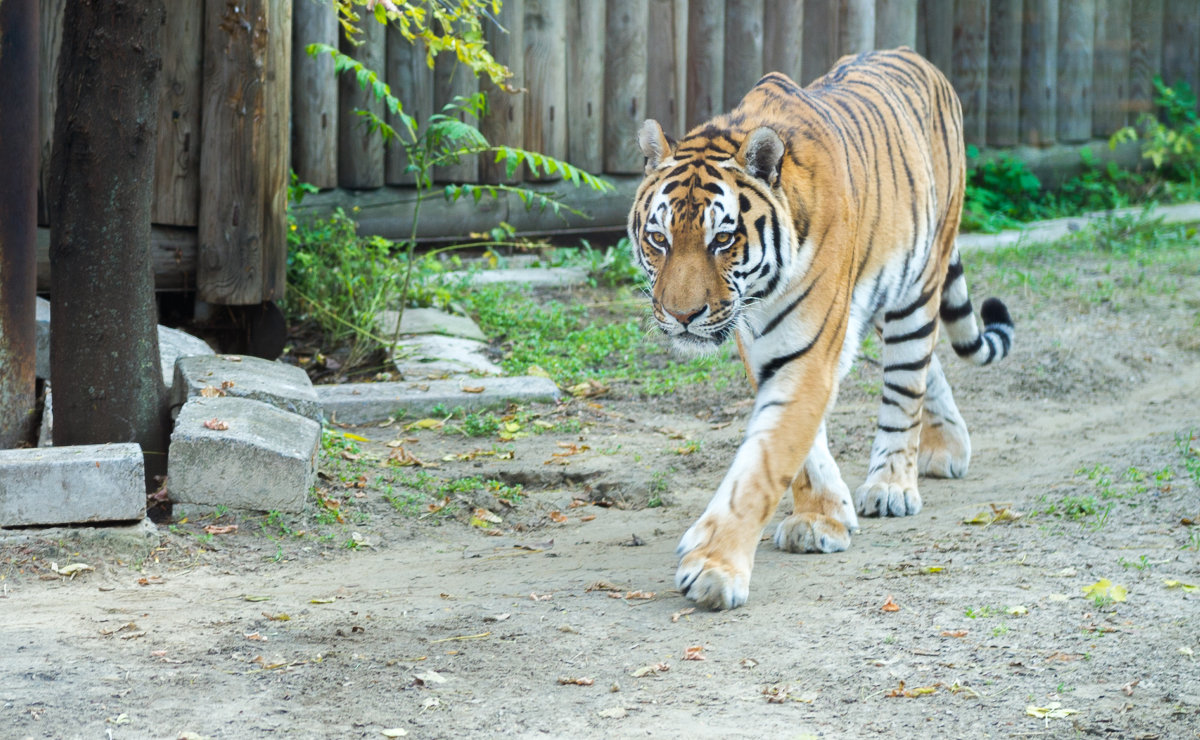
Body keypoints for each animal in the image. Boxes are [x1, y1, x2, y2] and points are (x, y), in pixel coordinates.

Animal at [628, 49, 1012, 609]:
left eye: (722, 240)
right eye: (658, 238)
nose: (682, 316)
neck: (763, 292)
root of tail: (917, 58)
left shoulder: (808, 351)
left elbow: (764, 463)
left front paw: (714, 567)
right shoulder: (768, 348)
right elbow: (802, 447)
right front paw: (823, 517)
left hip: (920, 281)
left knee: (907, 382)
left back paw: (893, 485)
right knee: (927, 366)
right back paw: (947, 448)